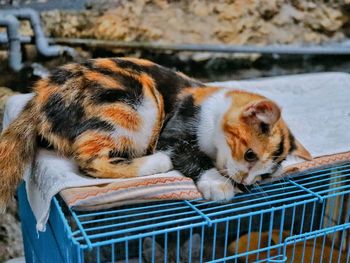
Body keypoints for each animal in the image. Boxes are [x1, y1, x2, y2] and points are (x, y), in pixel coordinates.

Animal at [0, 57, 310, 212]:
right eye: (249, 154)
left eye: (265, 175)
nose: (246, 181)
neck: (212, 109)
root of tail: (39, 97)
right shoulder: (174, 128)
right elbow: (188, 153)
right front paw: (218, 184)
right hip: (137, 101)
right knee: (88, 160)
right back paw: (156, 162)